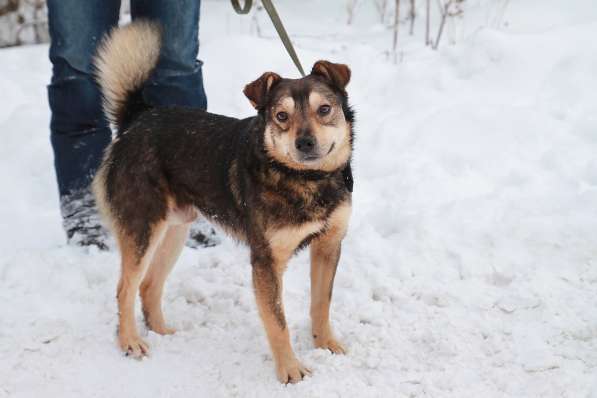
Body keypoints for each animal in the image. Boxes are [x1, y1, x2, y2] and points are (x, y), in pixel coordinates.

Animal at [92, 21, 354, 382]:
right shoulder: (266, 262)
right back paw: (130, 341)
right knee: (124, 289)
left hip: (174, 230)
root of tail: (137, 119)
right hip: (143, 228)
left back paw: (162, 332)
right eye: (281, 116)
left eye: (324, 109)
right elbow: (278, 322)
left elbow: (321, 303)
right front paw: (290, 370)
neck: (308, 181)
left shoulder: (329, 246)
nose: (305, 143)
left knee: (148, 286)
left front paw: (326, 343)